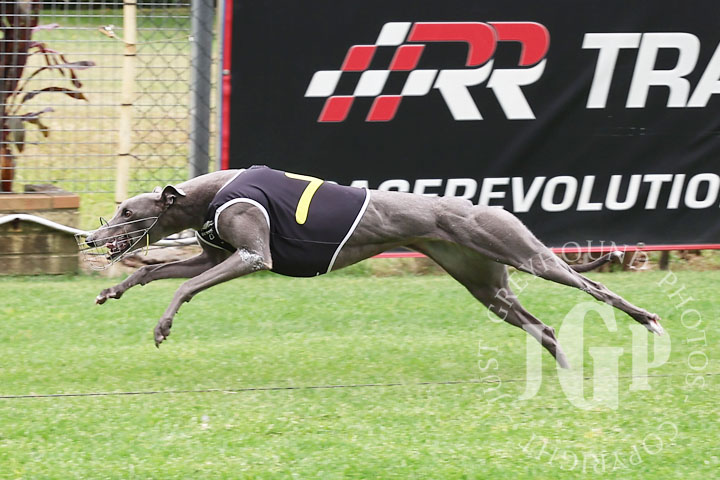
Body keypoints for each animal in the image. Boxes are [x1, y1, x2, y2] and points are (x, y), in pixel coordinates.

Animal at [81, 165, 664, 368]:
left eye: (127, 212)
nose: (90, 237)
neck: (207, 194)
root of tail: (487, 204)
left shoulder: (250, 257)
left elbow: (185, 288)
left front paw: (163, 325)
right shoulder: (213, 255)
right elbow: (153, 272)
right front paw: (115, 289)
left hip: (527, 256)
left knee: (592, 286)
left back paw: (647, 319)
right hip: (485, 286)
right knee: (542, 326)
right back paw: (565, 371)